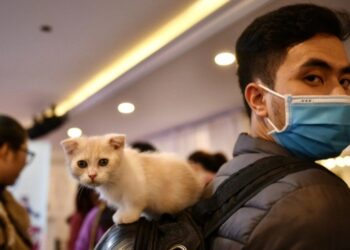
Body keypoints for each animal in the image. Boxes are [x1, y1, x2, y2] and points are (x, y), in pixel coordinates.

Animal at [60, 135, 205, 225]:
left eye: (103, 162)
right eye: (82, 164)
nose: (92, 175)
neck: (113, 180)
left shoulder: (136, 191)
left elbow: (133, 204)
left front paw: (128, 216)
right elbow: (122, 205)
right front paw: (120, 213)